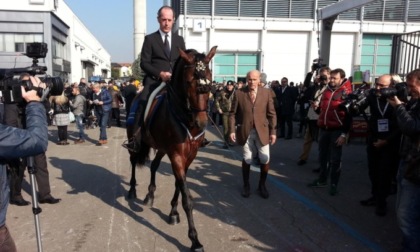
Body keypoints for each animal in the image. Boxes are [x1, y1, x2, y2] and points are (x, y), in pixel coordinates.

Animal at [124, 46, 217, 251]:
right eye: (189, 82)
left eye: (210, 80)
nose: (202, 123)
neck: (185, 117)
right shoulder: (176, 156)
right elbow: (187, 198)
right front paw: (195, 240)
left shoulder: (189, 155)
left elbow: (178, 185)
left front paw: (173, 212)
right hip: (135, 143)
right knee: (133, 162)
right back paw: (132, 191)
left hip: (161, 148)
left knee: (154, 166)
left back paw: (149, 195)